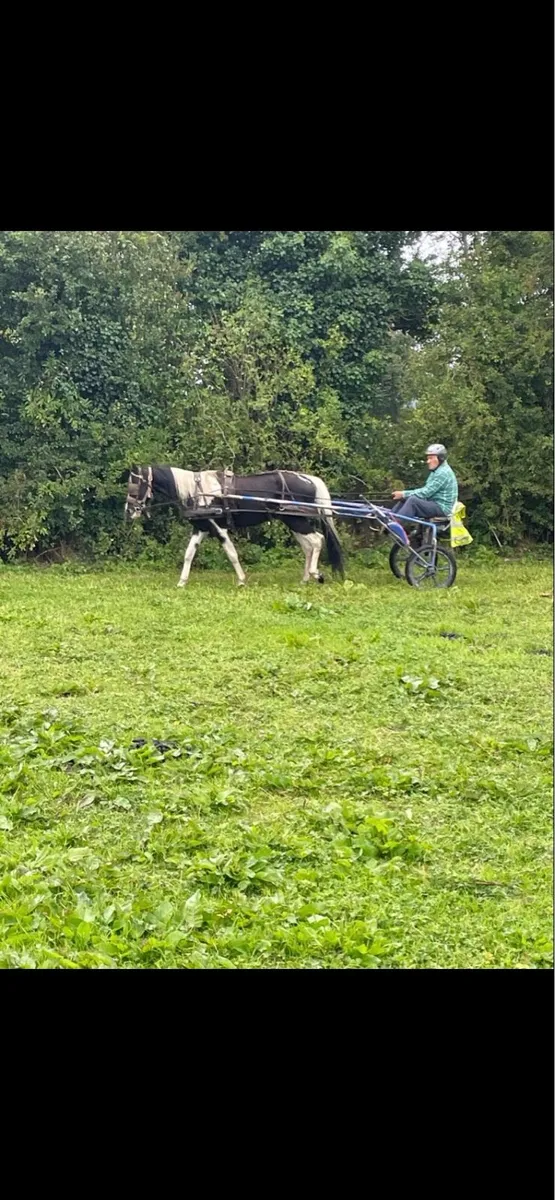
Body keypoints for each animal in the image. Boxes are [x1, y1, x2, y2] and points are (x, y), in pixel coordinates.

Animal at [124, 466, 345, 587]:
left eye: (134, 484)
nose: (129, 510)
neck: (197, 491)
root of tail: (310, 479)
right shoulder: (202, 527)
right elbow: (188, 554)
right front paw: (181, 582)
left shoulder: (217, 528)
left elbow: (231, 553)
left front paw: (241, 580)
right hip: (292, 520)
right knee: (308, 546)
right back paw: (305, 579)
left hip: (296, 520)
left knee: (317, 540)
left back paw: (317, 574)